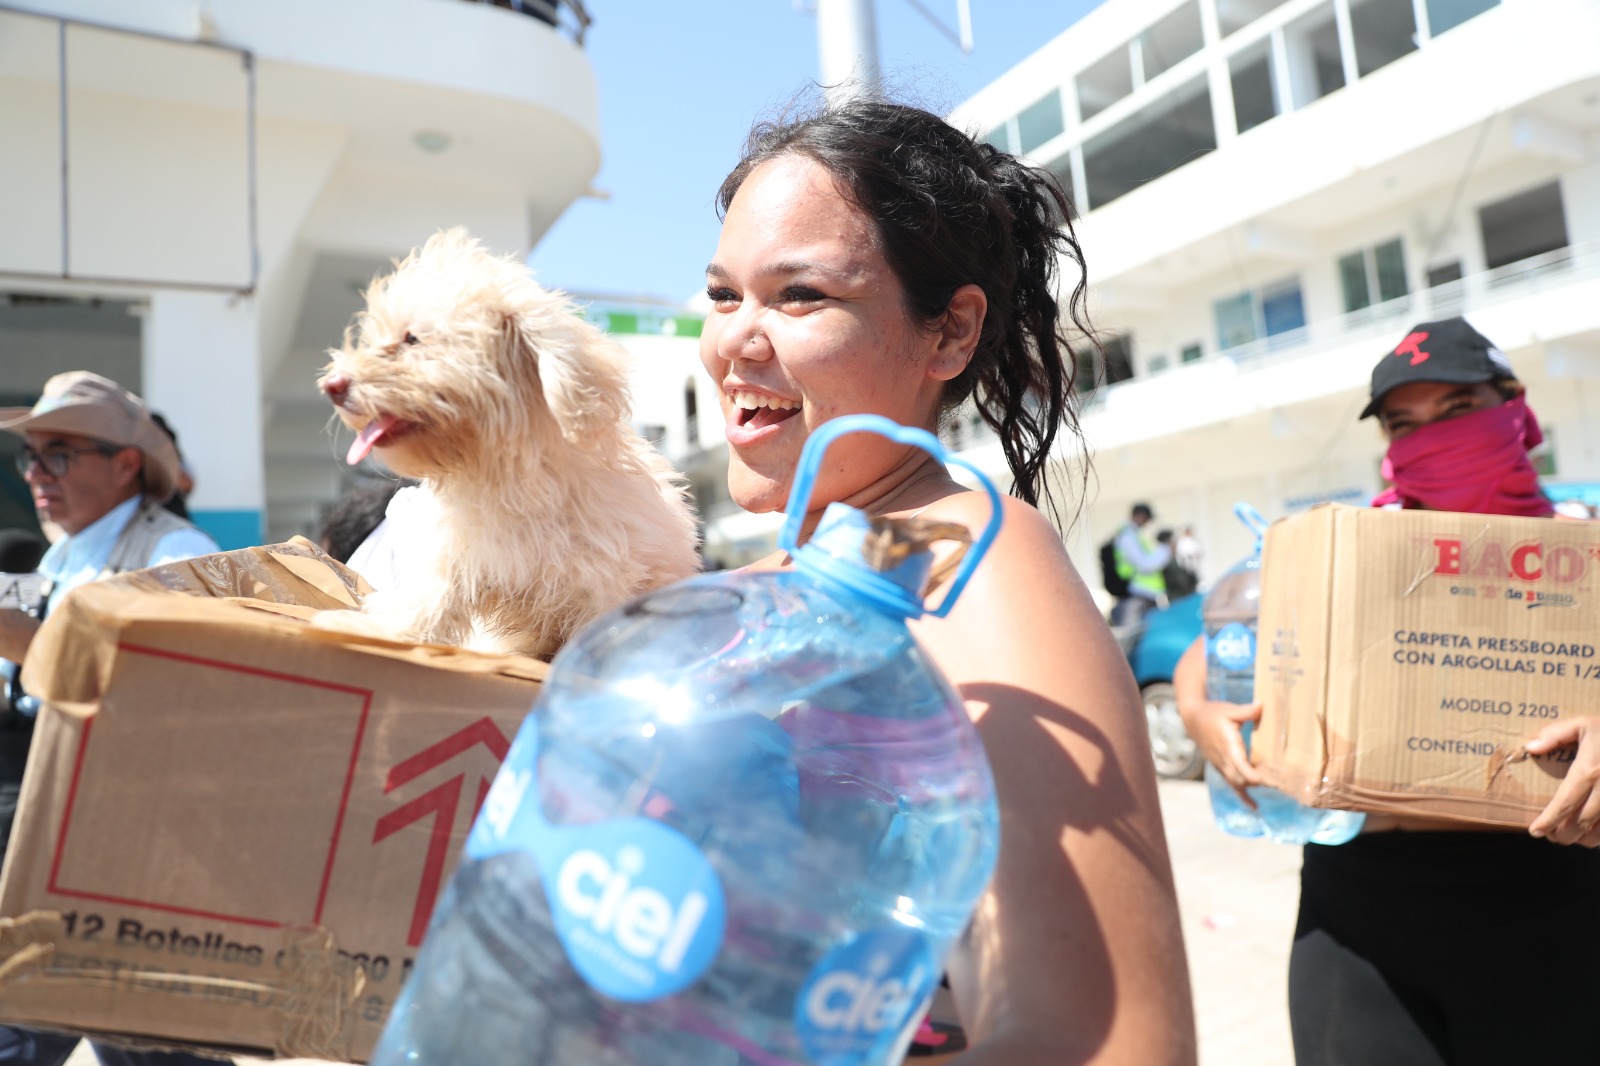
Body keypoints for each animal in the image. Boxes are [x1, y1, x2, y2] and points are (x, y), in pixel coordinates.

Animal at [318, 228, 700, 656]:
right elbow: (430, 598)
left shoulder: (606, 578)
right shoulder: (462, 553)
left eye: (412, 338)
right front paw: (383, 628)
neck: (503, 470)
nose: (332, 385)